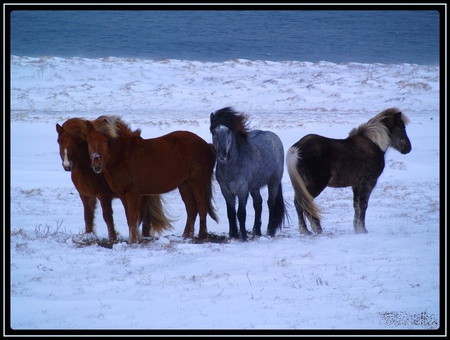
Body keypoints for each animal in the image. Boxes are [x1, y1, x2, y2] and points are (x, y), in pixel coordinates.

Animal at [85, 115, 219, 243]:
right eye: (89, 142)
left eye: (104, 141)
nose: (96, 165)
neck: (123, 156)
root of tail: (206, 144)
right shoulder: (123, 195)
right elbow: (129, 217)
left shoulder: (133, 193)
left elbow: (133, 217)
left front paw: (133, 241)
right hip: (184, 185)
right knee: (192, 210)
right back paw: (186, 236)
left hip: (197, 183)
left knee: (202, 208)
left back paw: (202, 236)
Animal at [288, 107, 412, 235]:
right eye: (401, 127)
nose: (408, 148)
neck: (374, 143)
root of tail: (296, 150)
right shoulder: (369, 182)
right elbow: (363, 205)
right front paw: (363, 229)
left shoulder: (356, 184)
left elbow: (356, 206)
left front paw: (357, 229)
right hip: (314, 186)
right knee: (303, 203)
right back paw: (315, 229)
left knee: (299, 204)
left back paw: (305, 230)